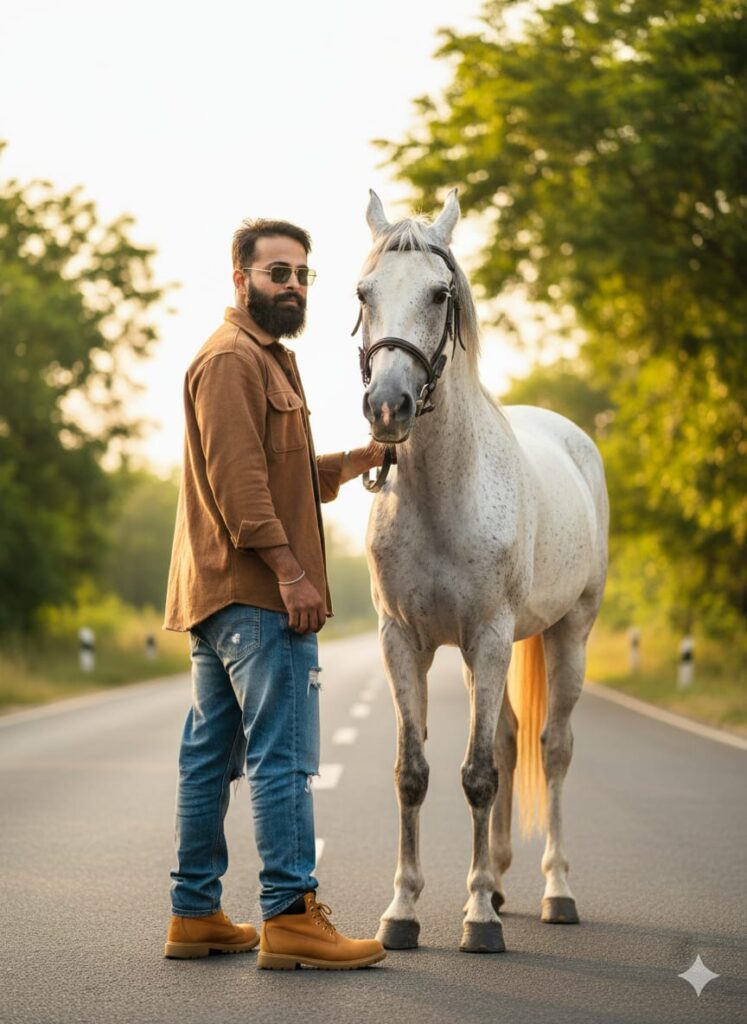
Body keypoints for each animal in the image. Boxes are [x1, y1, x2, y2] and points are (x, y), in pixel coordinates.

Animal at [355, 189, 609, 953]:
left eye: (440, 294)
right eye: (362, 292)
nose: (388, 406)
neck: (444, 493)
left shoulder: (491, 637)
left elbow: (477, 774)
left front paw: (476, 922)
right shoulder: (403, 642)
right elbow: (414, 772)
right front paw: (403, 911)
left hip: (567, 633)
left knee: (550, 748)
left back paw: (555, 891)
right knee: (507, 736)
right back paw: (495, 882)